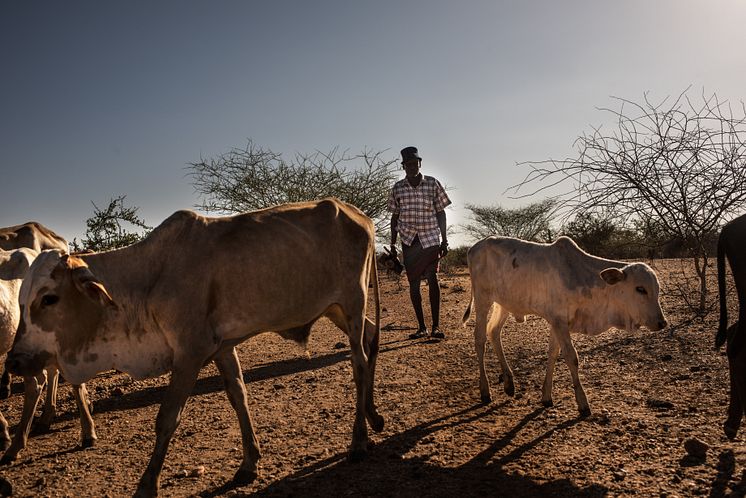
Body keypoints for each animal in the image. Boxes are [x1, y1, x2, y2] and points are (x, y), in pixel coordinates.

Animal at [8, 199, 384, 498]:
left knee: (359, 362)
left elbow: (167, 418)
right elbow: (238, 397)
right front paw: (249, 463)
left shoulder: (189, 354)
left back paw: (359, 441)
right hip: (337, 309)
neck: (148, 279)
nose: (14, 361)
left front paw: (147, 484)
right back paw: (373, 415)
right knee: (371, 335)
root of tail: (357, 213)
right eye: (21, 300)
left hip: (353, 301)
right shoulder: (222, 348)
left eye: (49, 298)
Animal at [462, 235, 664, 414]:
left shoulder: (557, 322)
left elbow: (553, 353)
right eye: (640, 289)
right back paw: (485, 391)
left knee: (494, 332)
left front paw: (546, 396)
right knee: (479, 339)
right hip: (482, 299)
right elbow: (571, 357)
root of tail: (474, 248)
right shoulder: (559, 322)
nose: (662, 322)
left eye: (657, 289)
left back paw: (509, 383)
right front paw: (582, 403)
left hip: (503, 303)